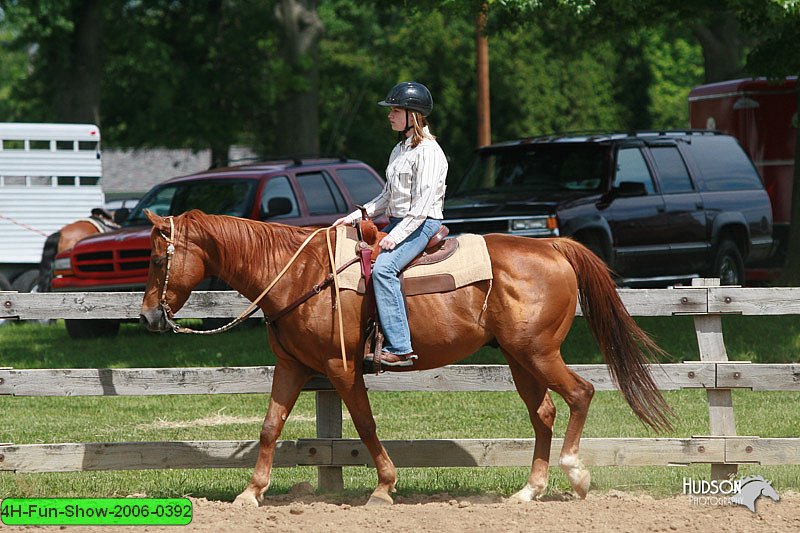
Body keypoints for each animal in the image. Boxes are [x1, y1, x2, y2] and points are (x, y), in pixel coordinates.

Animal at [141, 210, 672, 504]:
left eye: (157, 258)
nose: (147, 317)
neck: (299, 275)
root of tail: (555, 248)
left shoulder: (340, 368)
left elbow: (365, 424)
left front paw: (384, 486)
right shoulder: (292, 366)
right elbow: (270, 426)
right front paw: (250, 493)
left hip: (539, 353)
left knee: (580, 393)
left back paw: (575, 474)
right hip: (520, 359)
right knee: (543, 412)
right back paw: (528, 490)